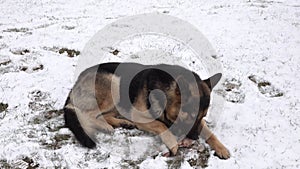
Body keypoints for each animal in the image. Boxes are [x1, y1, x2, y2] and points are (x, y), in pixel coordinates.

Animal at [64, 62, 231, 160]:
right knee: (86, 114)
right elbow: (160, 124)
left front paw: (221, 148)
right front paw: (172, 142)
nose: (195, 138)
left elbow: (209, 132)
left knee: (105, 115)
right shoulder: (139, 116)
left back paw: (122, 123)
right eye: (190, 116)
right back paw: (106, 126)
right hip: (114, 83)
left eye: (203, 115)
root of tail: (75, 85)